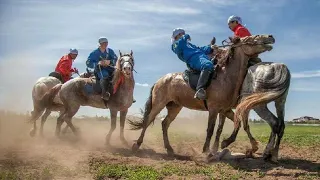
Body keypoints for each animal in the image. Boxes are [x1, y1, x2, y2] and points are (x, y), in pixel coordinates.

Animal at [127, 34, 276, 158]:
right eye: (251, 37)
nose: (270, 36)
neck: (226, 77)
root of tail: (160, 80)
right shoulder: (214, 109)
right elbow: (210, 129)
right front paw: (207, 150)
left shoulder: (225, 110)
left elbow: (233, 126)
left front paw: (246, 145)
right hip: (159, 104)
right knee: (147, 121)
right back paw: (137, 145)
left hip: (175, 107)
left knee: (165, 124)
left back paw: (169, 149)